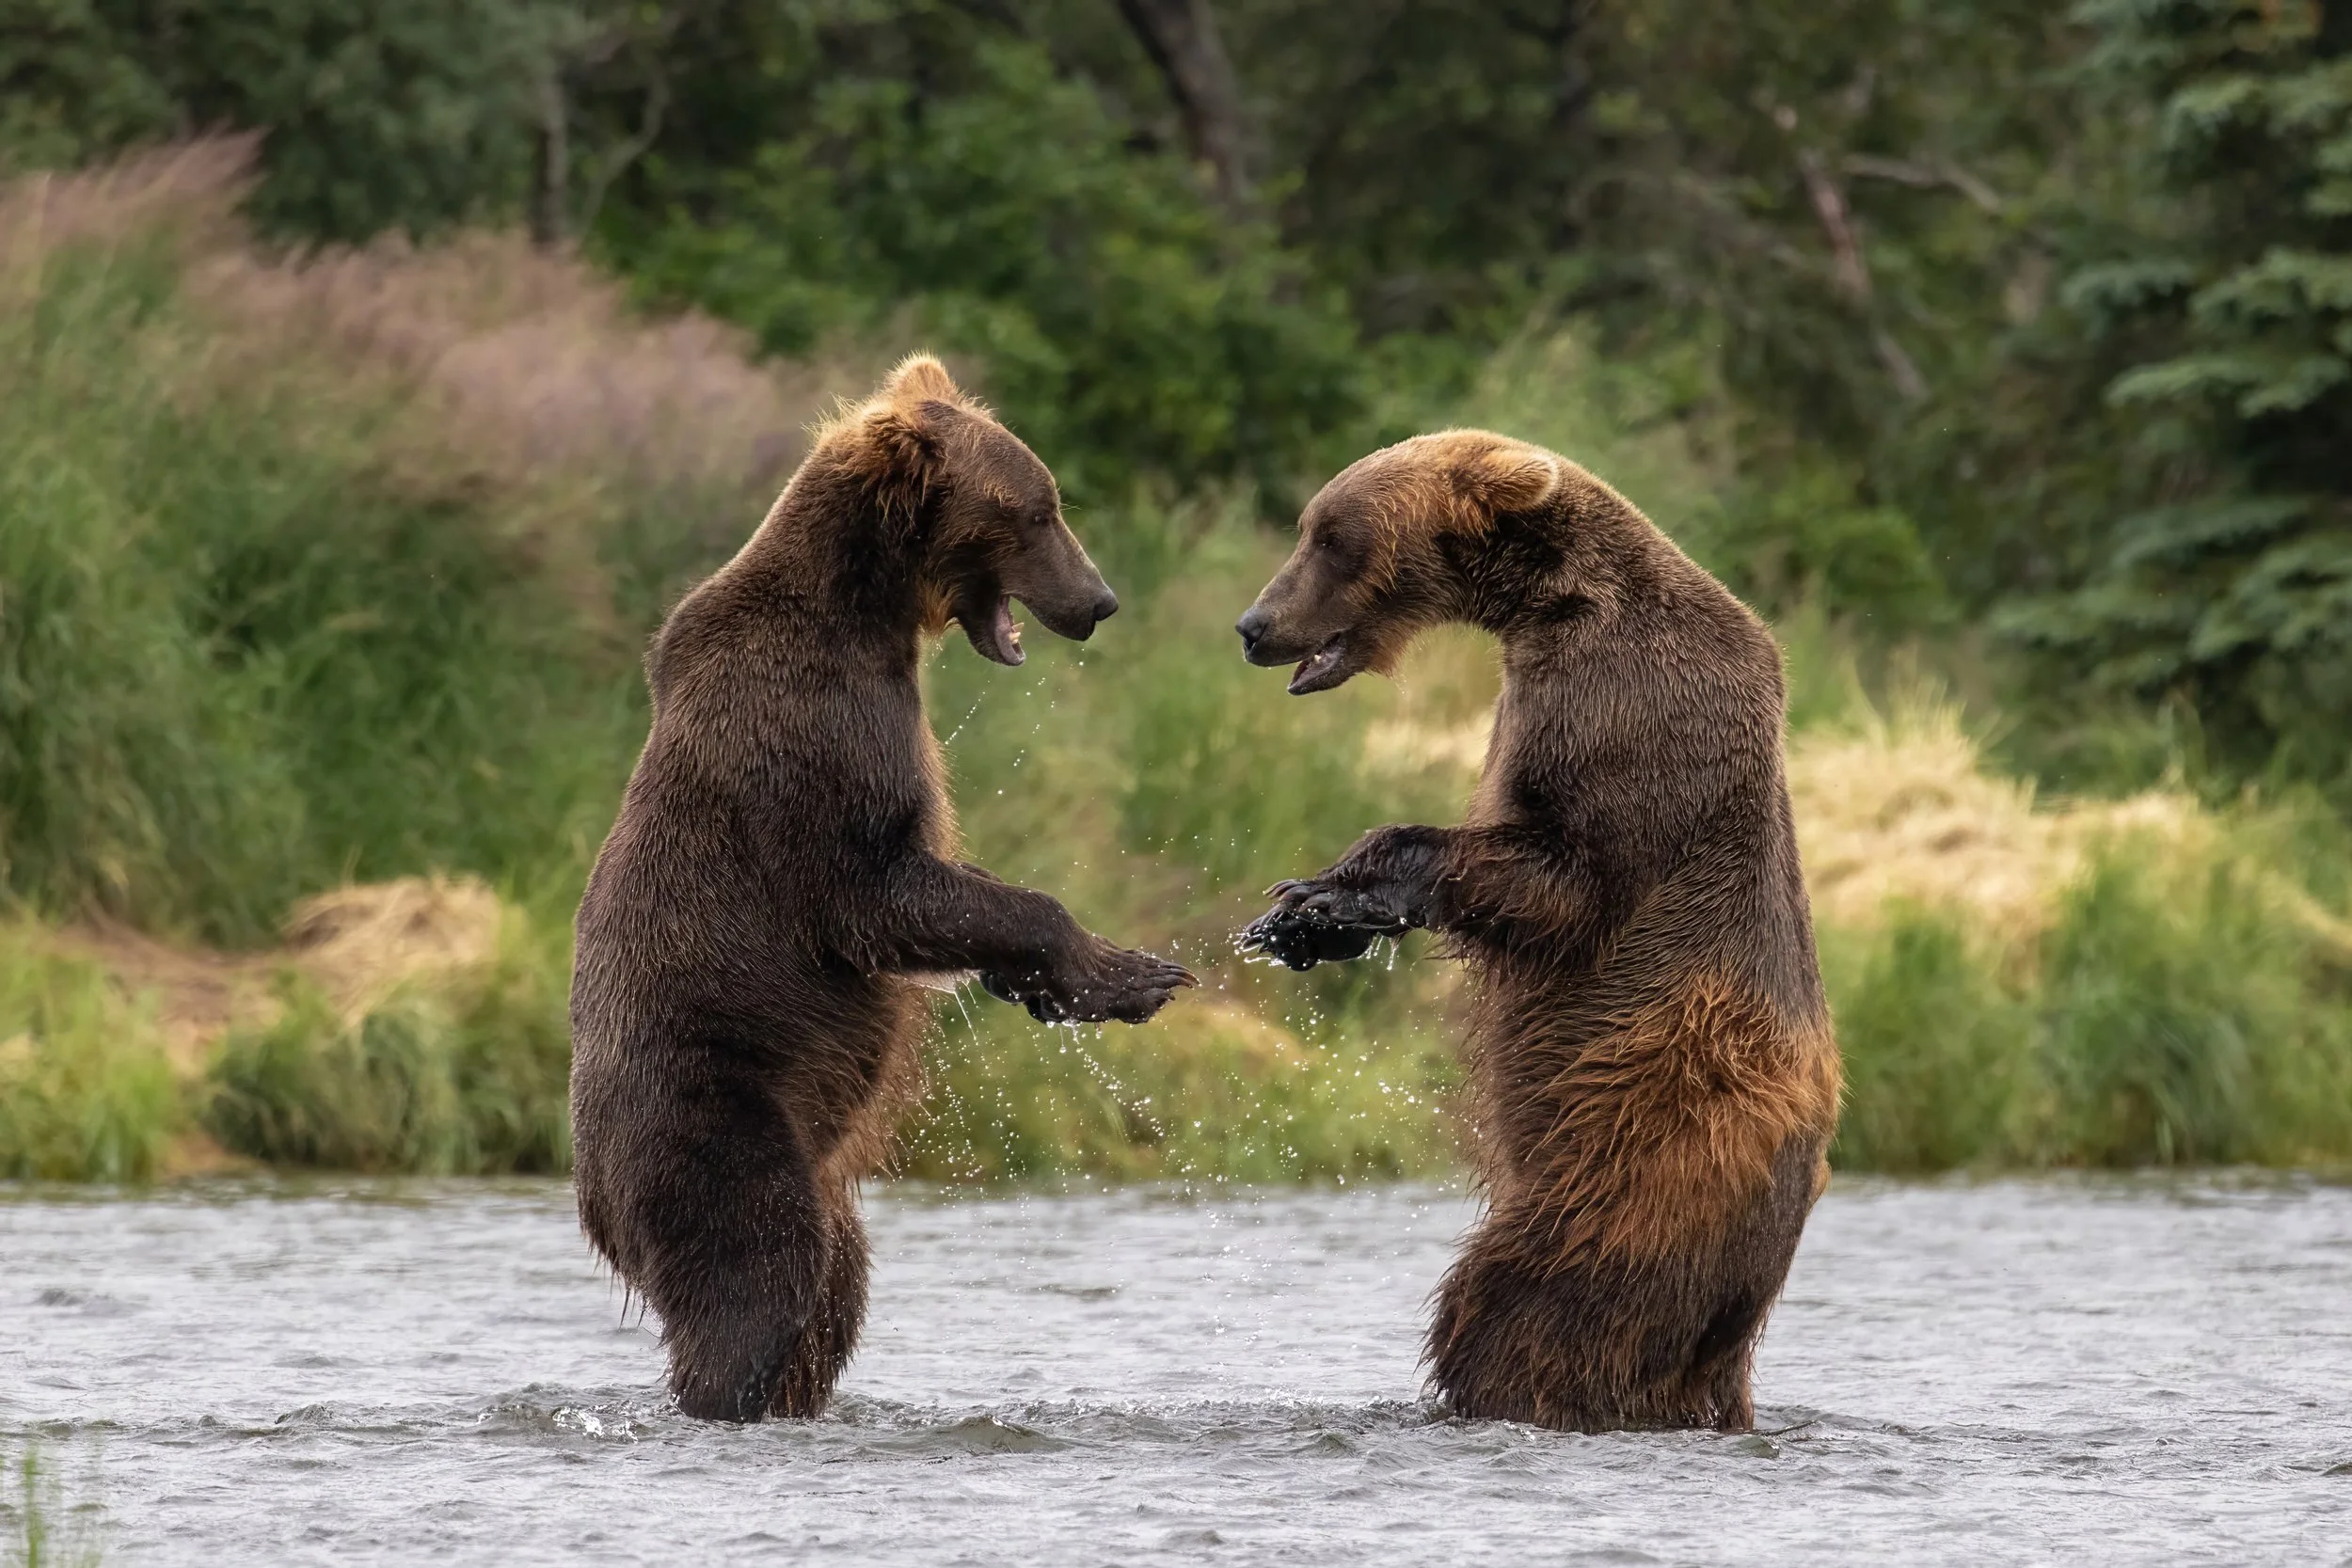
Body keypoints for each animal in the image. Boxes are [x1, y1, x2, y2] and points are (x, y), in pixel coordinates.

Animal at [569, 354, 1194, 1423]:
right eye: (1035, 510)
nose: (1101, 599)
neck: (870, 611)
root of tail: (583, 1188)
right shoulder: (812, 734)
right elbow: (877, 889)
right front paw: (1133, 972)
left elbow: (944, 887)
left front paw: (1057, 981)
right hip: (707, 1111)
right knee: (755, 1271)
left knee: (834, 1291)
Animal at [1234, 430, 1840, 1433]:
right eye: (1309, 527)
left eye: (1334, 537)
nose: (1254, 623)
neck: (1548, 611)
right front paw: (1296, 917)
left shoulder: (1631, 724)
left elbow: (1563, 880)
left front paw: (1329, 894)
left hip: (1642, 1164)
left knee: (1524, 1302)